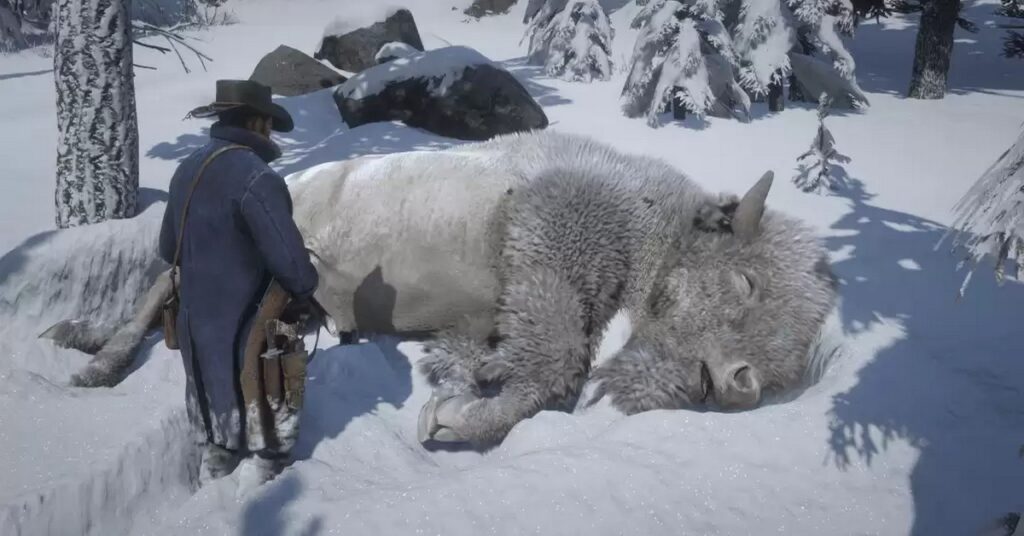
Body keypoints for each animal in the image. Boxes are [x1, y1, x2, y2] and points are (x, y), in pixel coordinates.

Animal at [44, 130, 835, 448]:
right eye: (746, 279)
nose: (742, 385)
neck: (645, 212)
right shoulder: (550, 250)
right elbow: (555, 366)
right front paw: (454, 419)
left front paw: (460, 389)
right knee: (160, 286)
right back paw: (95, 357)